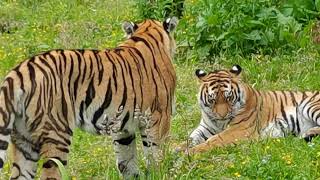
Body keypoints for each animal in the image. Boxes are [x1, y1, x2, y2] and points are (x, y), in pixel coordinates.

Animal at [0, 16, 179, 179]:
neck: (147, 35)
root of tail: (19, 72)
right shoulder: (159, 117)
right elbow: (156, 155)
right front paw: (160, 174)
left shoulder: (122, 128)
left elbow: (126, 162)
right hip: (56, 134)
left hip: (23, 140)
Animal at [178, 65, 320, 154]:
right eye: (212, 100)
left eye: (228, 97)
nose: (222, 116)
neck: (220, 123)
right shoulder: (205, 127)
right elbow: (190, 139)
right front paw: (176, 149)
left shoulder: (240, 129)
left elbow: (214, 140)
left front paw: (190, 153)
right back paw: (306, 134)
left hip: (311, 105)